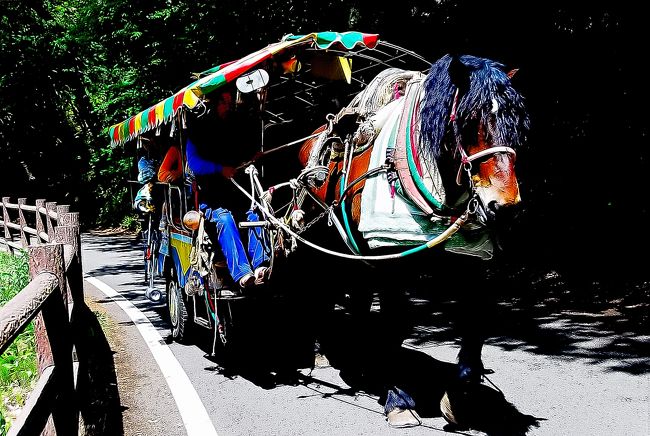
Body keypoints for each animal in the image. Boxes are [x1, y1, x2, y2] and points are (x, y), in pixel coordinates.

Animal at [280, 52, 528, 428]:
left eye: (516, 124)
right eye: (470, 120)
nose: (505, 207)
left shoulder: (468, 261)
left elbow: (472, 325)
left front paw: (459, 398)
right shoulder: (390, 260)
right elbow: (395, 323)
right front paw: (398, 399)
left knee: (357, 299)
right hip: (321, 242)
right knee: (324, 290)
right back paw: (322, 353)